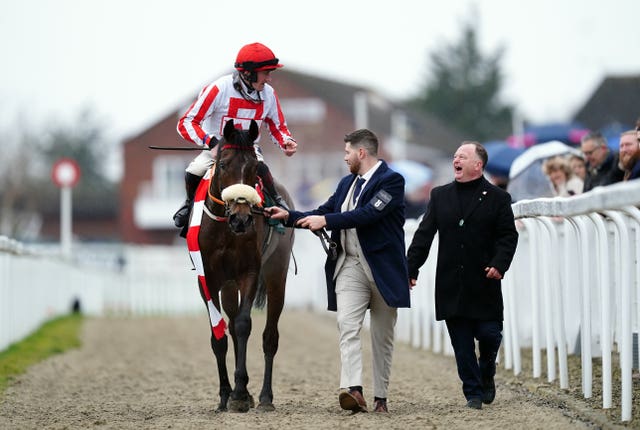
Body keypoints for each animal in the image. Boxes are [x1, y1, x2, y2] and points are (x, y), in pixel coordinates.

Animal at [196, 118, 294, 414]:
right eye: (223, 165)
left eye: (253, 169)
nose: (241, 219)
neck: (225, 229)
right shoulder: (207, 279)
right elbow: (218, 336)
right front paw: (225, 395)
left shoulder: (249, 272)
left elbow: (243, 325)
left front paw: (239, 393)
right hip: (228, 286)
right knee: (230, 323)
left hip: (276, 276)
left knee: (269, 336)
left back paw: (264, 397)